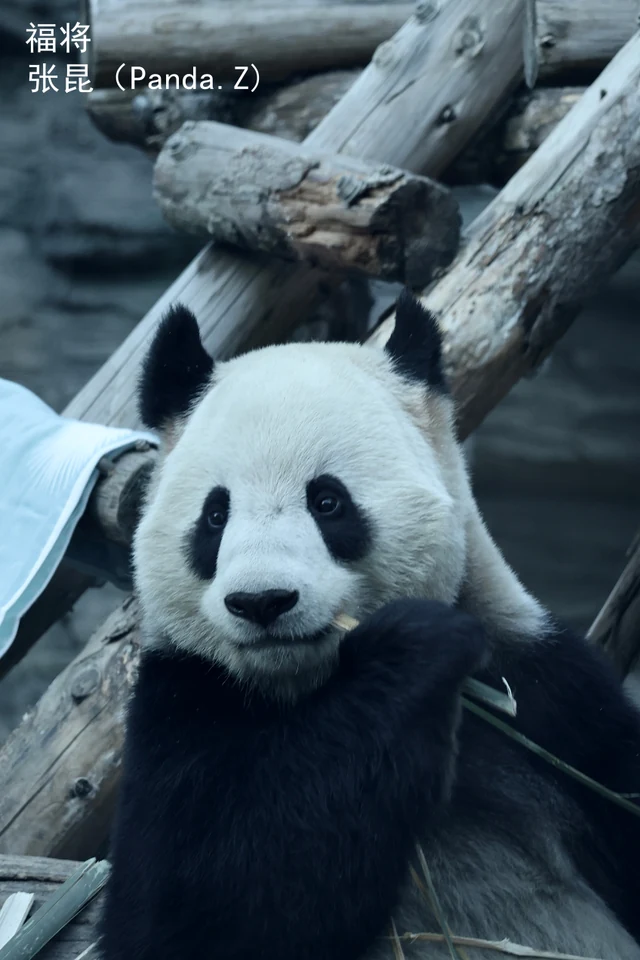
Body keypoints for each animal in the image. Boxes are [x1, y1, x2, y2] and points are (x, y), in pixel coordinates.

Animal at [100, 290, 640, 960]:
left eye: (328, 501)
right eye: (215, 515)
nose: (262, 602)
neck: (304, 691)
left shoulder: (554, 705)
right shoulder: (183, 706)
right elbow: (194, 910)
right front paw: (415, 650)